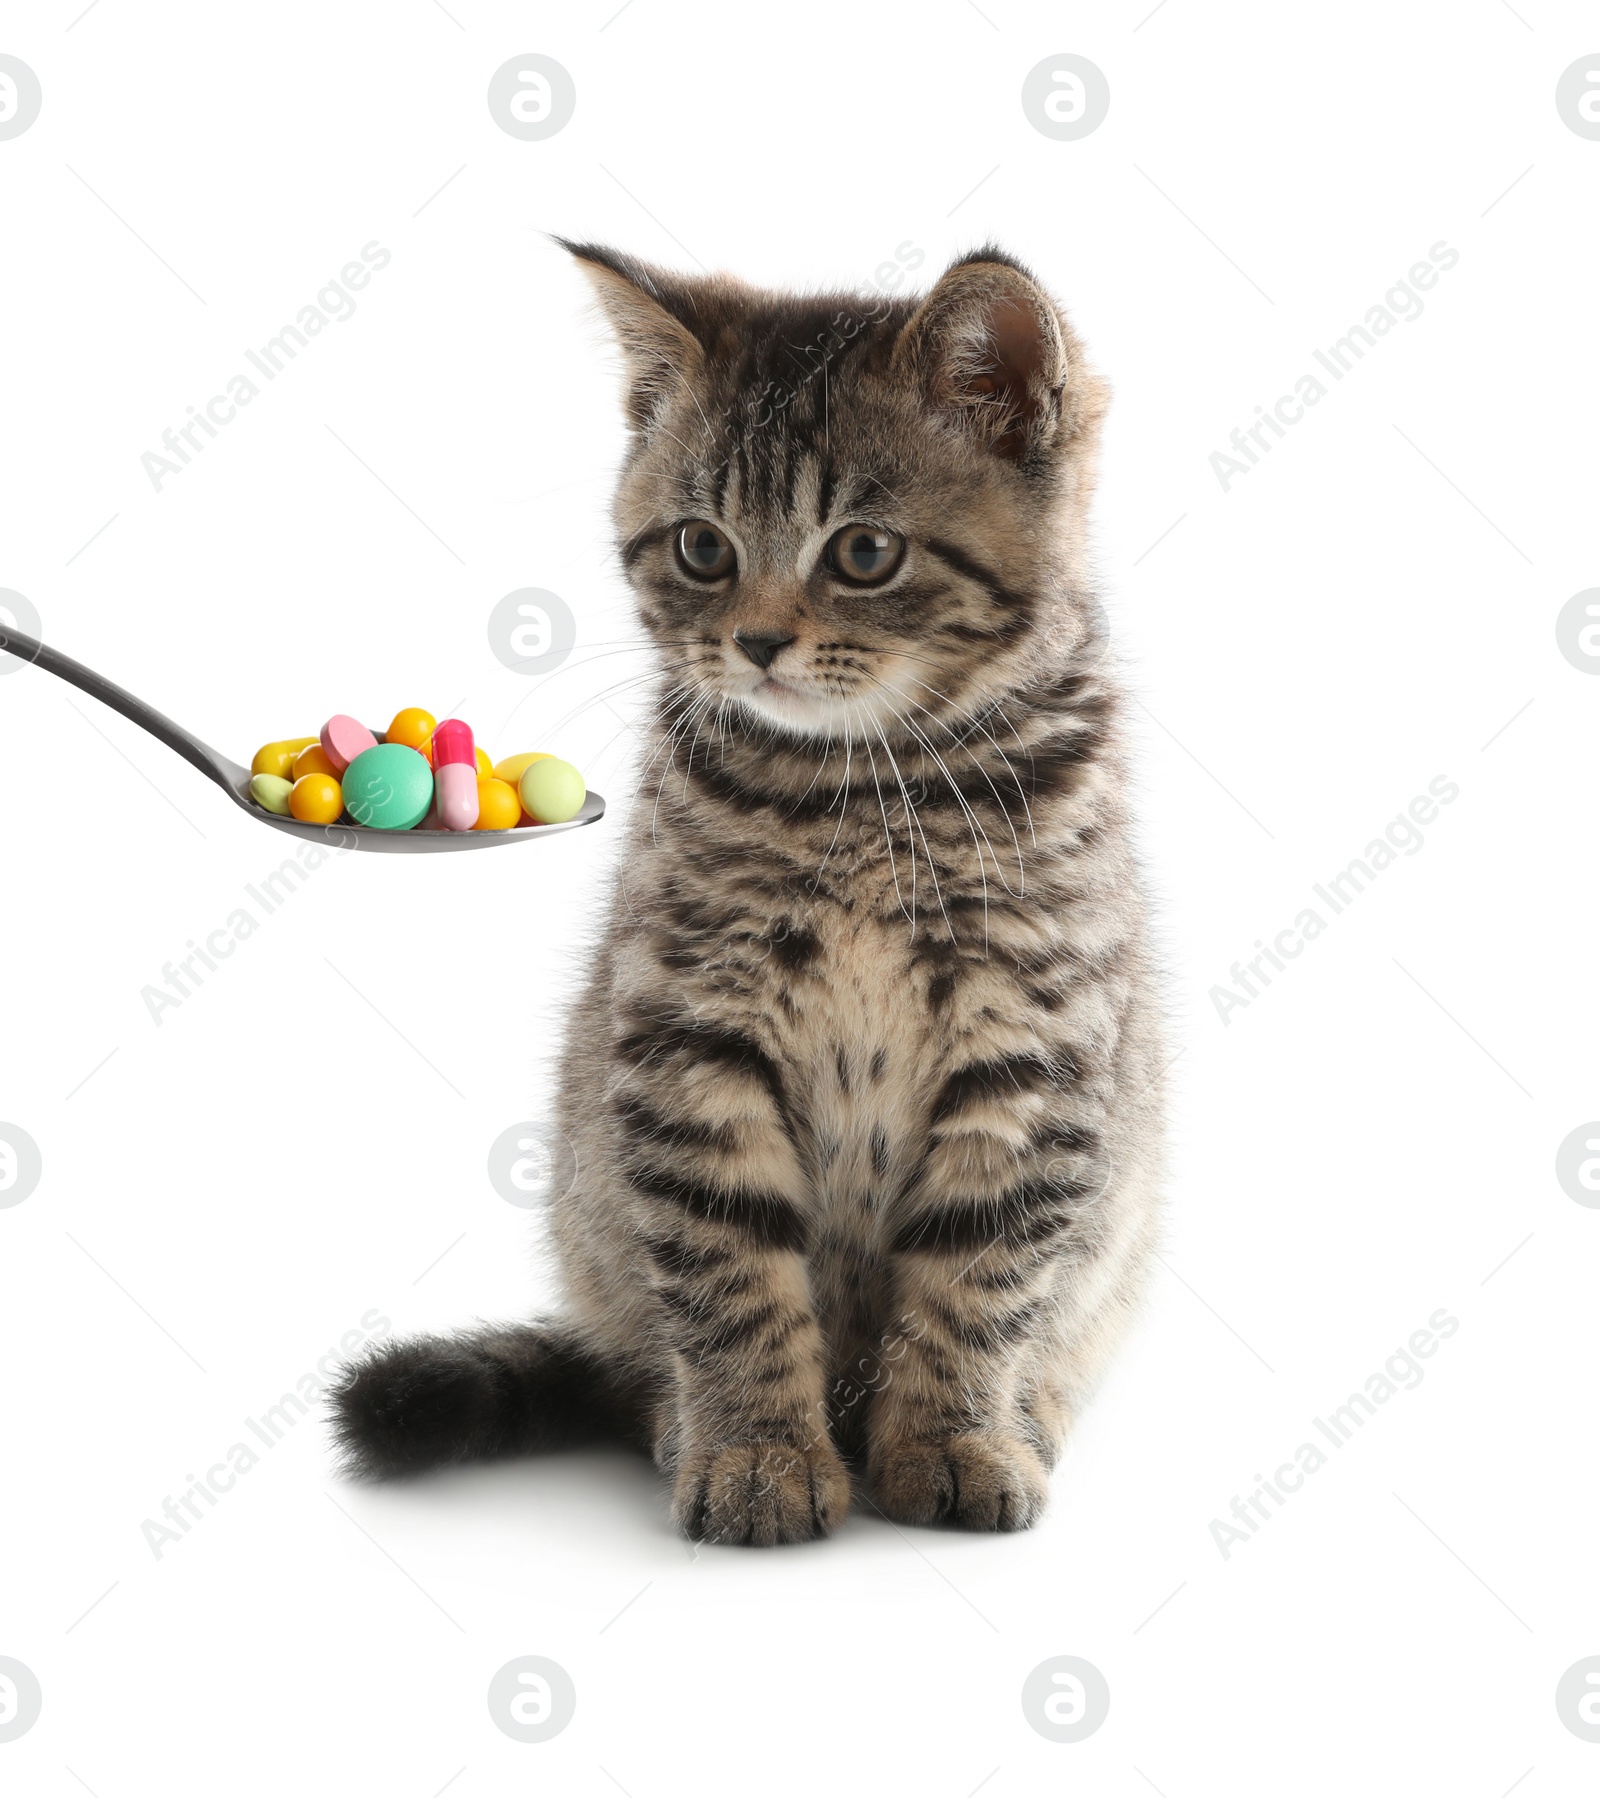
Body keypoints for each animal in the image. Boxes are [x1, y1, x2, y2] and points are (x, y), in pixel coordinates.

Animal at [334, 239, 1157, 1546]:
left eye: (864, 552)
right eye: (701, 548)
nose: (758, 643)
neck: (860, 793)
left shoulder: (1034, 1047)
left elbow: (981, 1275)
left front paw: (955, 1437)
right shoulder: (689, 1034)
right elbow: (729, 1275)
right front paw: (758, 1451)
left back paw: (1023, 1416)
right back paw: (684, 1421)